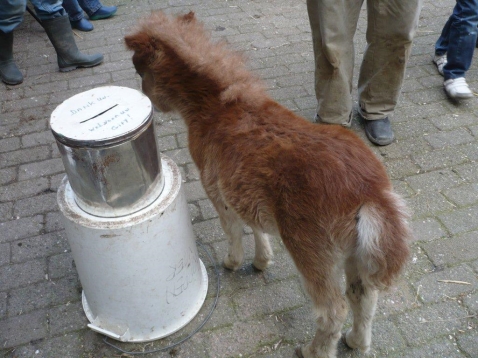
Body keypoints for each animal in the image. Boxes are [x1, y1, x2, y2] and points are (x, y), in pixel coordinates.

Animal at [124, 11, 410, 358]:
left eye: (140, 68)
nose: (148, 99)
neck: (216, 108)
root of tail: (371, 192)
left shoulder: (215, 189)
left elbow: (233, 229)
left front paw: (233, 262)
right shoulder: (242, 188)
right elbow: (255, 225)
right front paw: (261, 261)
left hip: (311, 250)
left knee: (333, 308)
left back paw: (312, 350)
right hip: (357, 252)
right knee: (364, 296)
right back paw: (357, 341)